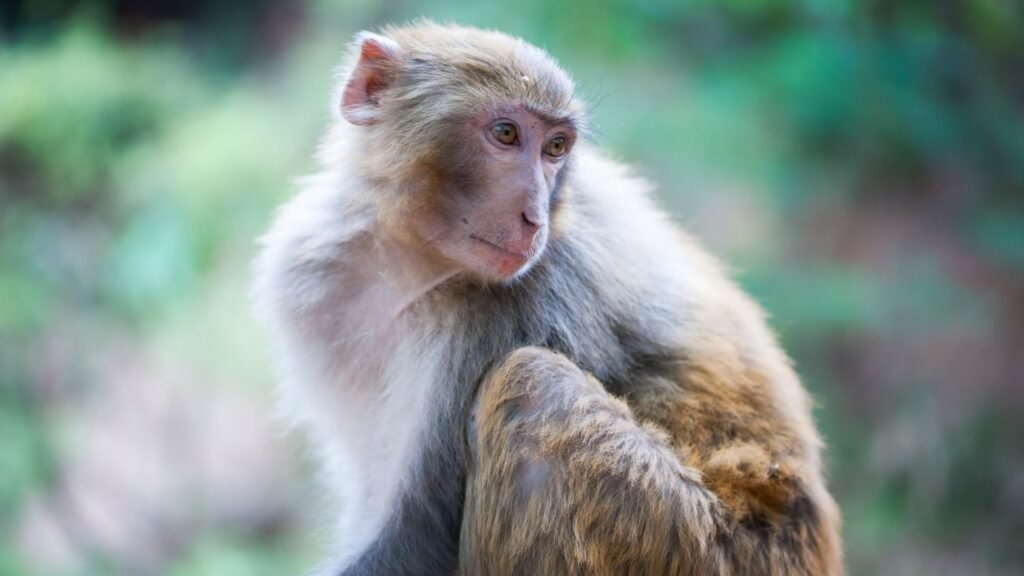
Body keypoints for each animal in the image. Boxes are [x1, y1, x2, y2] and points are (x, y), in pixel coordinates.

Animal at [252, 21, 842, 576]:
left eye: (555, 148)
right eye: (505, 134)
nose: (534, 217)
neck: (412, 260)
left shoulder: (522, 305)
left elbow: (417, 534)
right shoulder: (312, 278)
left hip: (693, 541)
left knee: (535, 386)